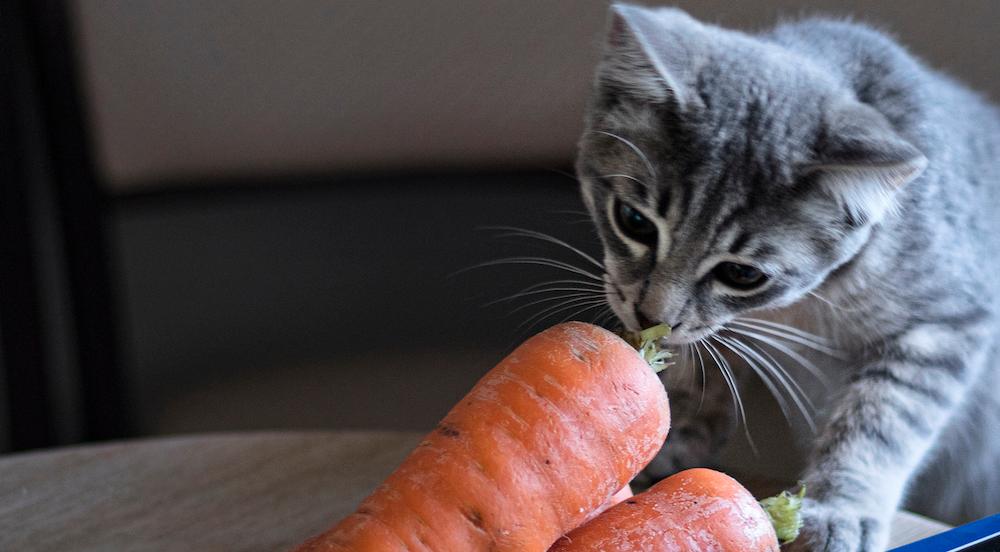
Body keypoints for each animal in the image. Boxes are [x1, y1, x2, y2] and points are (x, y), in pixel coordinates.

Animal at [580, 3, 1000, 548]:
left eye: (742, 273)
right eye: (633, 221)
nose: (651, 315)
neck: (799, 307)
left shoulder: (944, 324)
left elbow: (880, 419)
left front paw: (840, 508)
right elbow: (700, 366)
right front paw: (679, 433)